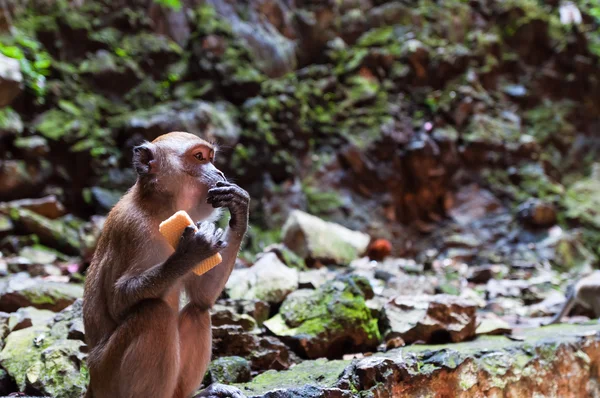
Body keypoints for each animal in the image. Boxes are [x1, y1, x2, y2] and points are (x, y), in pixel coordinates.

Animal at [81, 131, 248, 398]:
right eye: (199, 157)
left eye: (211, 158)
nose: (220, 173)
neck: (159, 210)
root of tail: (93, 384)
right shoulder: (134, 230)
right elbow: (118, 302)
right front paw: (190, 252)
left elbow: (202, 297)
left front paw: (239, 207)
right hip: (107, 376)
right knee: (154, 313)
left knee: (197, 311)